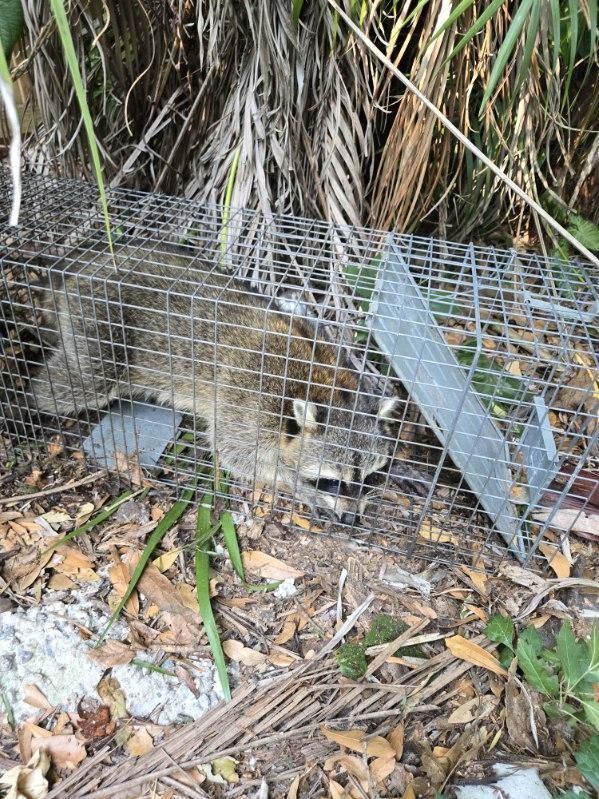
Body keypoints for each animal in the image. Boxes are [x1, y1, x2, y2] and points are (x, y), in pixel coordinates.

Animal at [25, 241, 399, 524]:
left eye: (369, 478)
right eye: (331, 483)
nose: (352, 519)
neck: (326, 386)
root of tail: (85, 264)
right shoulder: (248, 406)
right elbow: (235, 454)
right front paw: (296, 485)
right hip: (96, 323)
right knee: (75, 384)